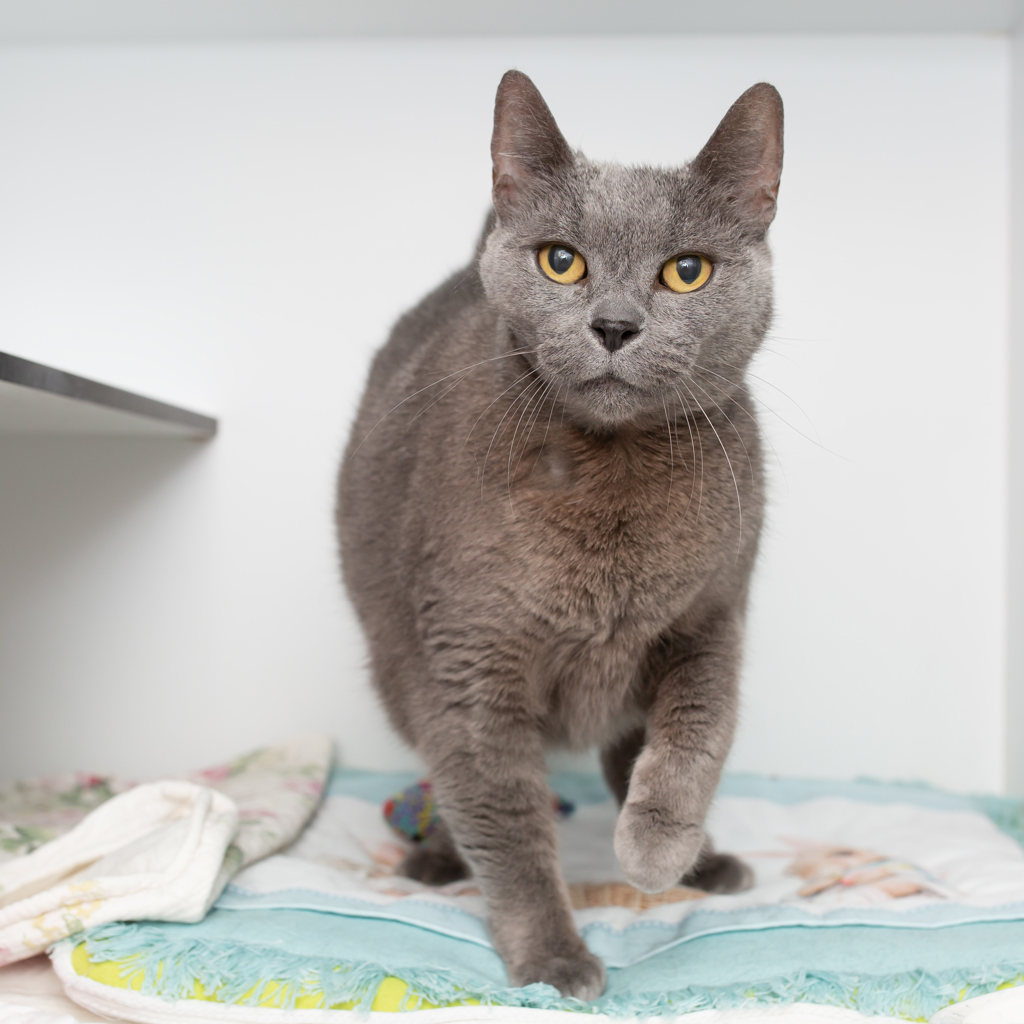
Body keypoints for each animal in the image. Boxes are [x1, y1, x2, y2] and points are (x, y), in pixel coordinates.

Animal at [337, 70, 783, 999]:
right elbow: (506, 823)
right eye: (561, 260)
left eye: (687, 272)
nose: (613, 325)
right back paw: (436, 856)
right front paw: (552, 957)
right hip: (395, 660)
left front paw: (656, 850)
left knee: (624, 750)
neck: (613, 472)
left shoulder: (711, 616)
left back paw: (699, 862)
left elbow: (695, 738)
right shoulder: (468, 662)